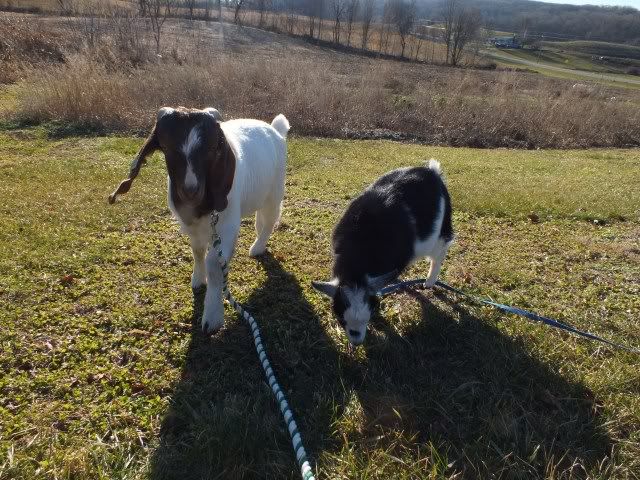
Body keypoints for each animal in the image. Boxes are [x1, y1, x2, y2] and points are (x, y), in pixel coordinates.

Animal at [109, 107, 290, 333]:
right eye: (166, 148)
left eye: (212, 148)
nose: (190, 191)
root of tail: (275, 129)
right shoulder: (191, 225)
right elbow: (197, 250)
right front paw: (197, 279)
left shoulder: (227, 225)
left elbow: (214, 264)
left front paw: (212, 317)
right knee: (260, 219)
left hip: (275, 192)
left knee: (270, 220)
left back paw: (257, 247)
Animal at [312, 161, 453, 345]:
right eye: (341, 318)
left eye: (369, 315)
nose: (357, 342)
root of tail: (433, 172)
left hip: (439, 233)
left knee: (440, 252)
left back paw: (429, 282)